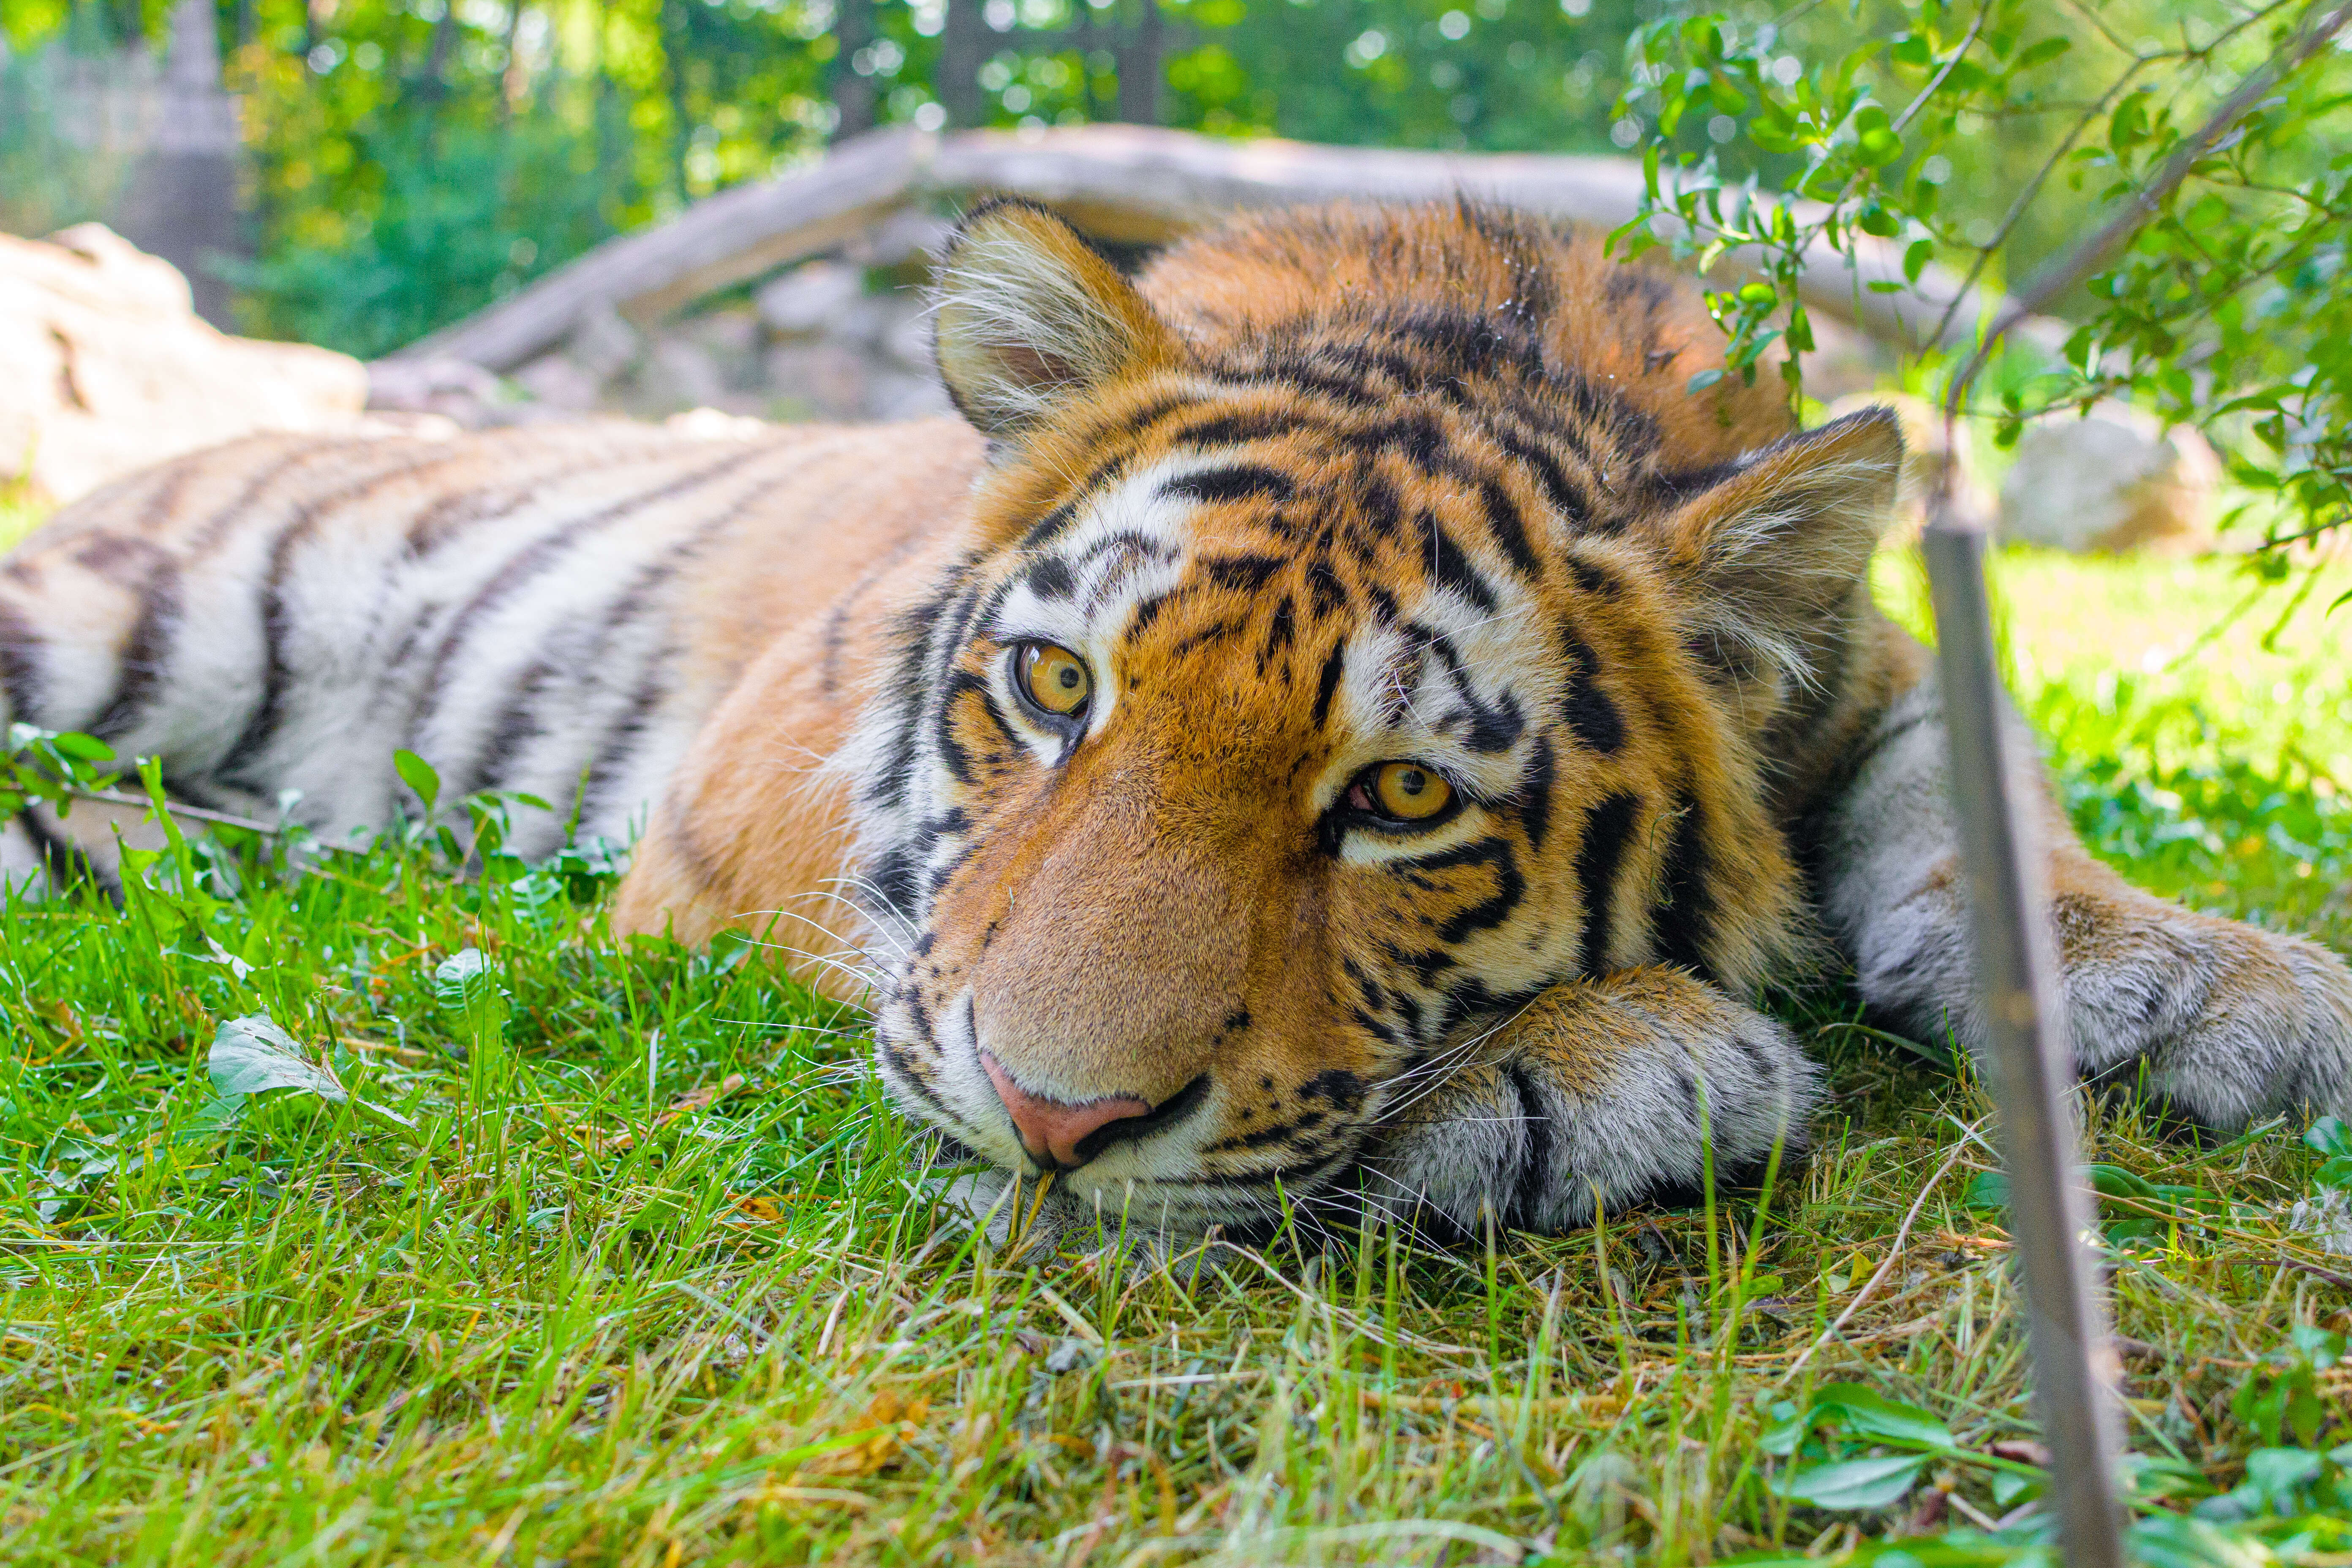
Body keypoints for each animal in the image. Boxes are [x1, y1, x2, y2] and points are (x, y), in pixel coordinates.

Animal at [4, 202, 2352, 1241]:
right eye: (1055, 690)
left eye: (1397, 796)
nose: (1050, 1129)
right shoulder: (742, 807)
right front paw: (1603, 1061)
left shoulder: (1872, 674)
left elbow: (1987, 796)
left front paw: (2203, 974)